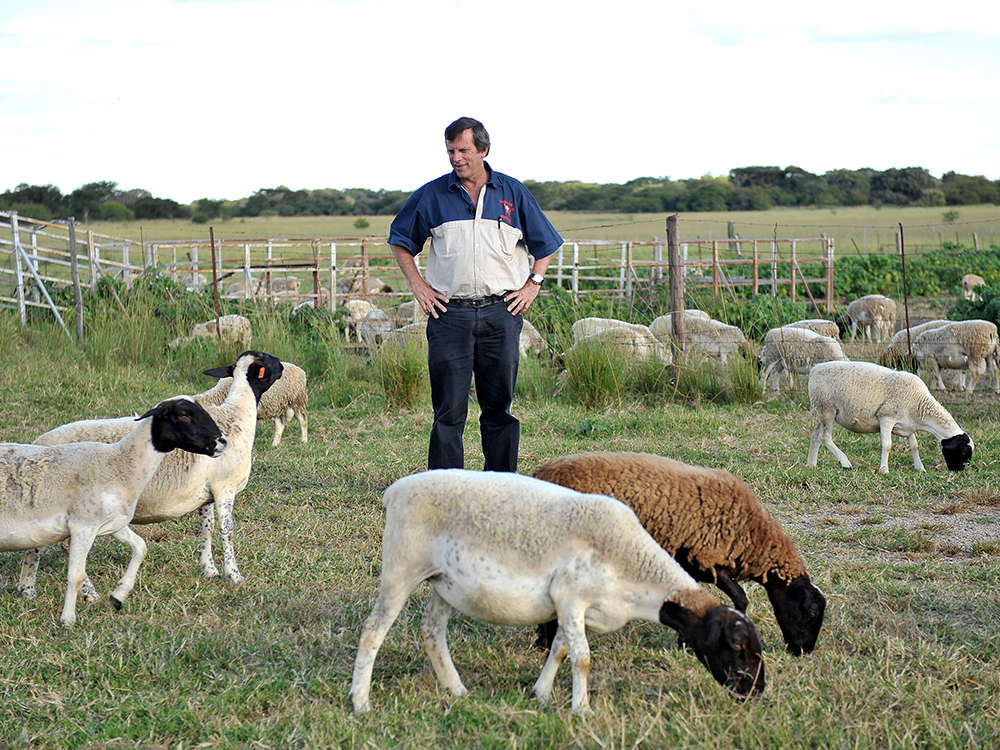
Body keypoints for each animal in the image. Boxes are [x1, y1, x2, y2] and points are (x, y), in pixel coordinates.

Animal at [1, 400, 225, 628]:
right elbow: (75, 576)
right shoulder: (83, 525)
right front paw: (68, 619)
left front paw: (118, 596)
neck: (120, 466)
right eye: (184, 415)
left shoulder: (112, 523)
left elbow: (141, 547)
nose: (222, 442)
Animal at [25, 350, 284, 604]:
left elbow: (207, 529)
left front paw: (209, 570)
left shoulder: (207, 495)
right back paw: (90, 595)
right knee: (68, 547)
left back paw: (28, 590)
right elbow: (227, 531)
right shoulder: (225, 489)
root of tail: (38, 443)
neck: (238, 414)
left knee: (36, 544)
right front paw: (234, 575)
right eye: (266, 358)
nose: (282, 365)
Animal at [352, 470, 764, 716]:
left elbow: (560, 649)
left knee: (432, 631)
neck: (633, 570)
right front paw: (582, 710)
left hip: (444, 581)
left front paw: (542, 694)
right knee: (373, 631)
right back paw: (360, 702)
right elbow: (582, 658)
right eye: (736, 646)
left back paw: (456, 690)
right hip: (402, 567)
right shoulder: (570, 596)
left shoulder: (573, 608)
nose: (757, 692)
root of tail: (396, 491)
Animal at [532, 452, 828, 656]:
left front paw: (684, 641)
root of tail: (540, 474)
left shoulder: (690, 561)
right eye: (812, 612)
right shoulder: (706, 558)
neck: (752, 536)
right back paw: (545, 641)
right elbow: (740, 597)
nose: (804, 651)